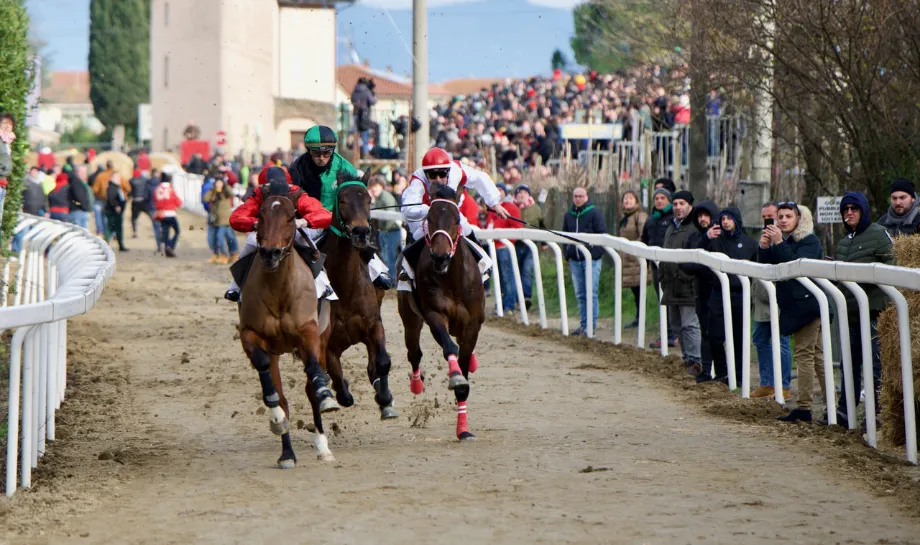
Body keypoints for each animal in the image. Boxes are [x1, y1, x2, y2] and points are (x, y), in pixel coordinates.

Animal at [241, 189, 342, 466]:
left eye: (289, 218)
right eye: (260, 216)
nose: (270, 253)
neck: (278, 290)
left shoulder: (309, 332)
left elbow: (314, 372)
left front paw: (326, 396)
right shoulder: (250, 334)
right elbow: (267, 374)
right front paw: (276, 417)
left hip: (322, 338)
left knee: (311, 386)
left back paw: (323, 445)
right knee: (282, 395)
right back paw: (287, 452)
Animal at [318, 176, 398, 418]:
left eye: (368, 199)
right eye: (342, 199)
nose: (361, 232)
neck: (345, 288)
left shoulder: (373, 324)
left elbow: (382, 362)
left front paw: (385, 397)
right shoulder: (328, 343)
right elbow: (341, 387)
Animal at [396, 185, 482, 440]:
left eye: (456, 219)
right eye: (429, 218)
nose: (441, 256)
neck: (452, 278)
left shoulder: (472, 324)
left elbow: (464, 358)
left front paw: (464, 430)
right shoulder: (434, 315)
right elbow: (450, 349)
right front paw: (456, 377)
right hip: (410, 318)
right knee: (414, 353)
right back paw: (416, 383)